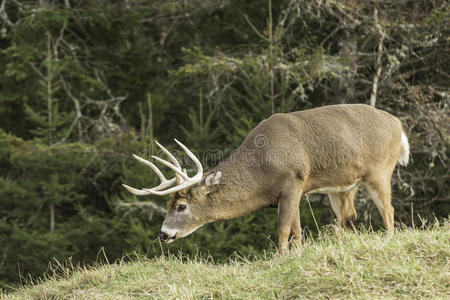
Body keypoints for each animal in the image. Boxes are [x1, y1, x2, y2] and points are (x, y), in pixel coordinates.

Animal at [122, 104, 408, 252]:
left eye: (182, 206)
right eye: (167, 205)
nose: (163, 234)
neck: (260, 169)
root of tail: (399, 125)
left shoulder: (292, 181)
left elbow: (283, 228)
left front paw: (281, 257)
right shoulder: (295, 190)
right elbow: (296, 228)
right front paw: (297, 254)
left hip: (380, 169)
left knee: (389, 210)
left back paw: (389, 240)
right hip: (342, 186)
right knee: (348, 217)